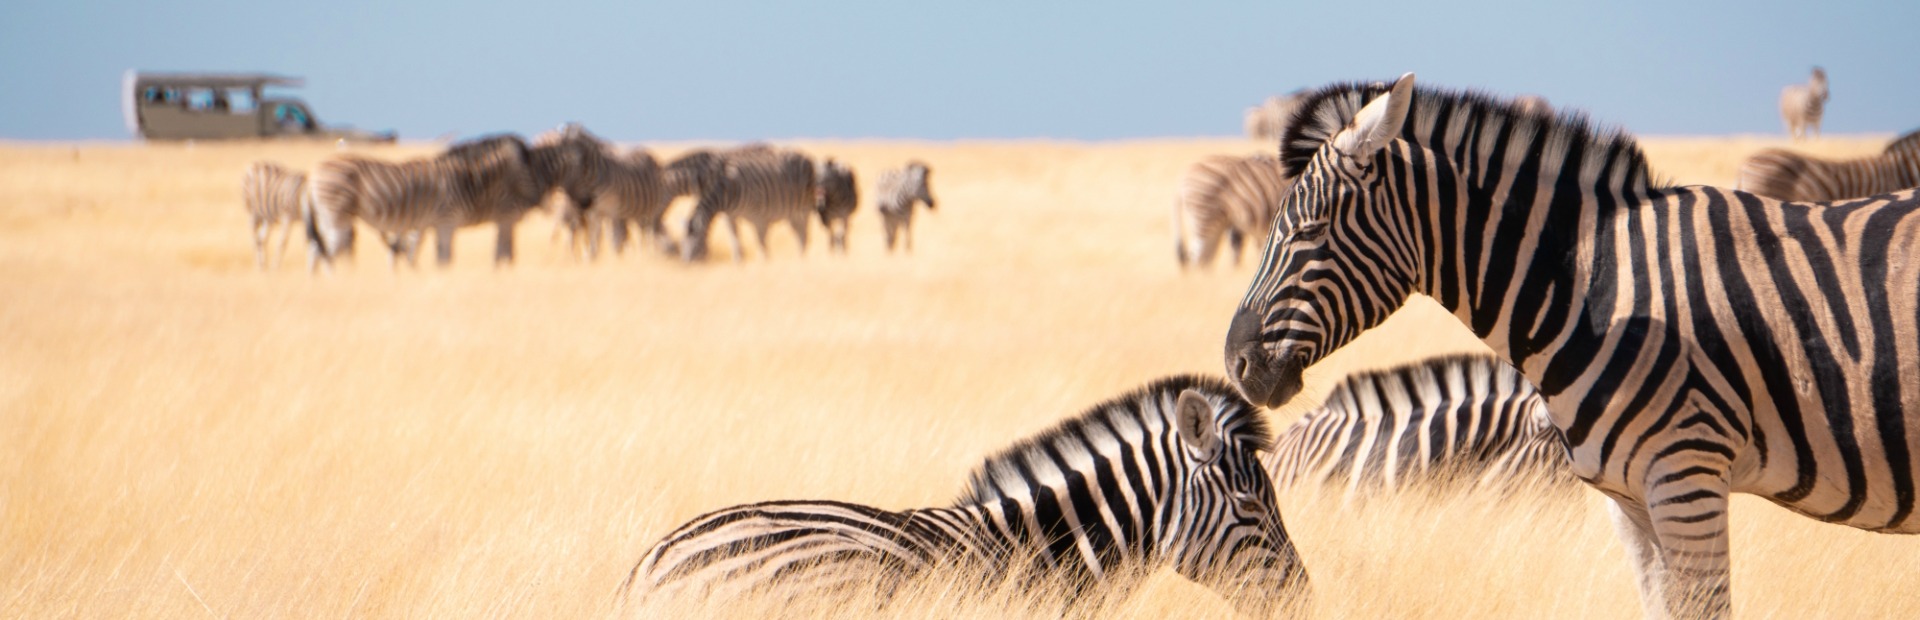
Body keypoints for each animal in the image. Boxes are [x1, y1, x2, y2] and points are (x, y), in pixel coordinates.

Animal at [306, 134, 546, 272]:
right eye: (527, 170)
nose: (537, 200)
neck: (462, 180)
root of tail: (314, 173)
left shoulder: (439, 225)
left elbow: (441, 258)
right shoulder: (446, 222)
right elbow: (445, 259)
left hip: (327, 217)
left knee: (316, 250)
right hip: (337, 216)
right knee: (326, 252)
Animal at [672, 146, 817, 262]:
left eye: (696, 244)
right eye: (681, 242)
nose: (685, 263)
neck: (726, 191)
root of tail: (806, 156)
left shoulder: (759, 217)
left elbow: (761, 242)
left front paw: (764, 263)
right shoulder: (730, 216)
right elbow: (735, 239)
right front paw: (738, 262)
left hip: (803, 210)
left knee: (804, 236)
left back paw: (802, 261)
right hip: (792, 214)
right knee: (800, 236)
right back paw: (799, 259)